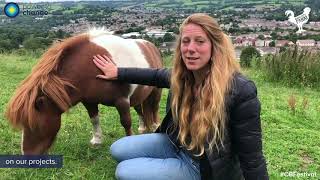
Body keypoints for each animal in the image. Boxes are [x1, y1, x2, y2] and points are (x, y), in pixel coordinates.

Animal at [5, 29, 162, 155]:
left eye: (34, 125)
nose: (27, 154)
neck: (91, 67)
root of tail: (151, 46)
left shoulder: (122, 100)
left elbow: (126, 122)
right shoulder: (89, 101)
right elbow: (94, 119)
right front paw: (97, 140)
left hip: (155, 92)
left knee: (154, 108)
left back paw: (155, 126)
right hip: (138, 95)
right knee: (140, 109)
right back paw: (142, 128)